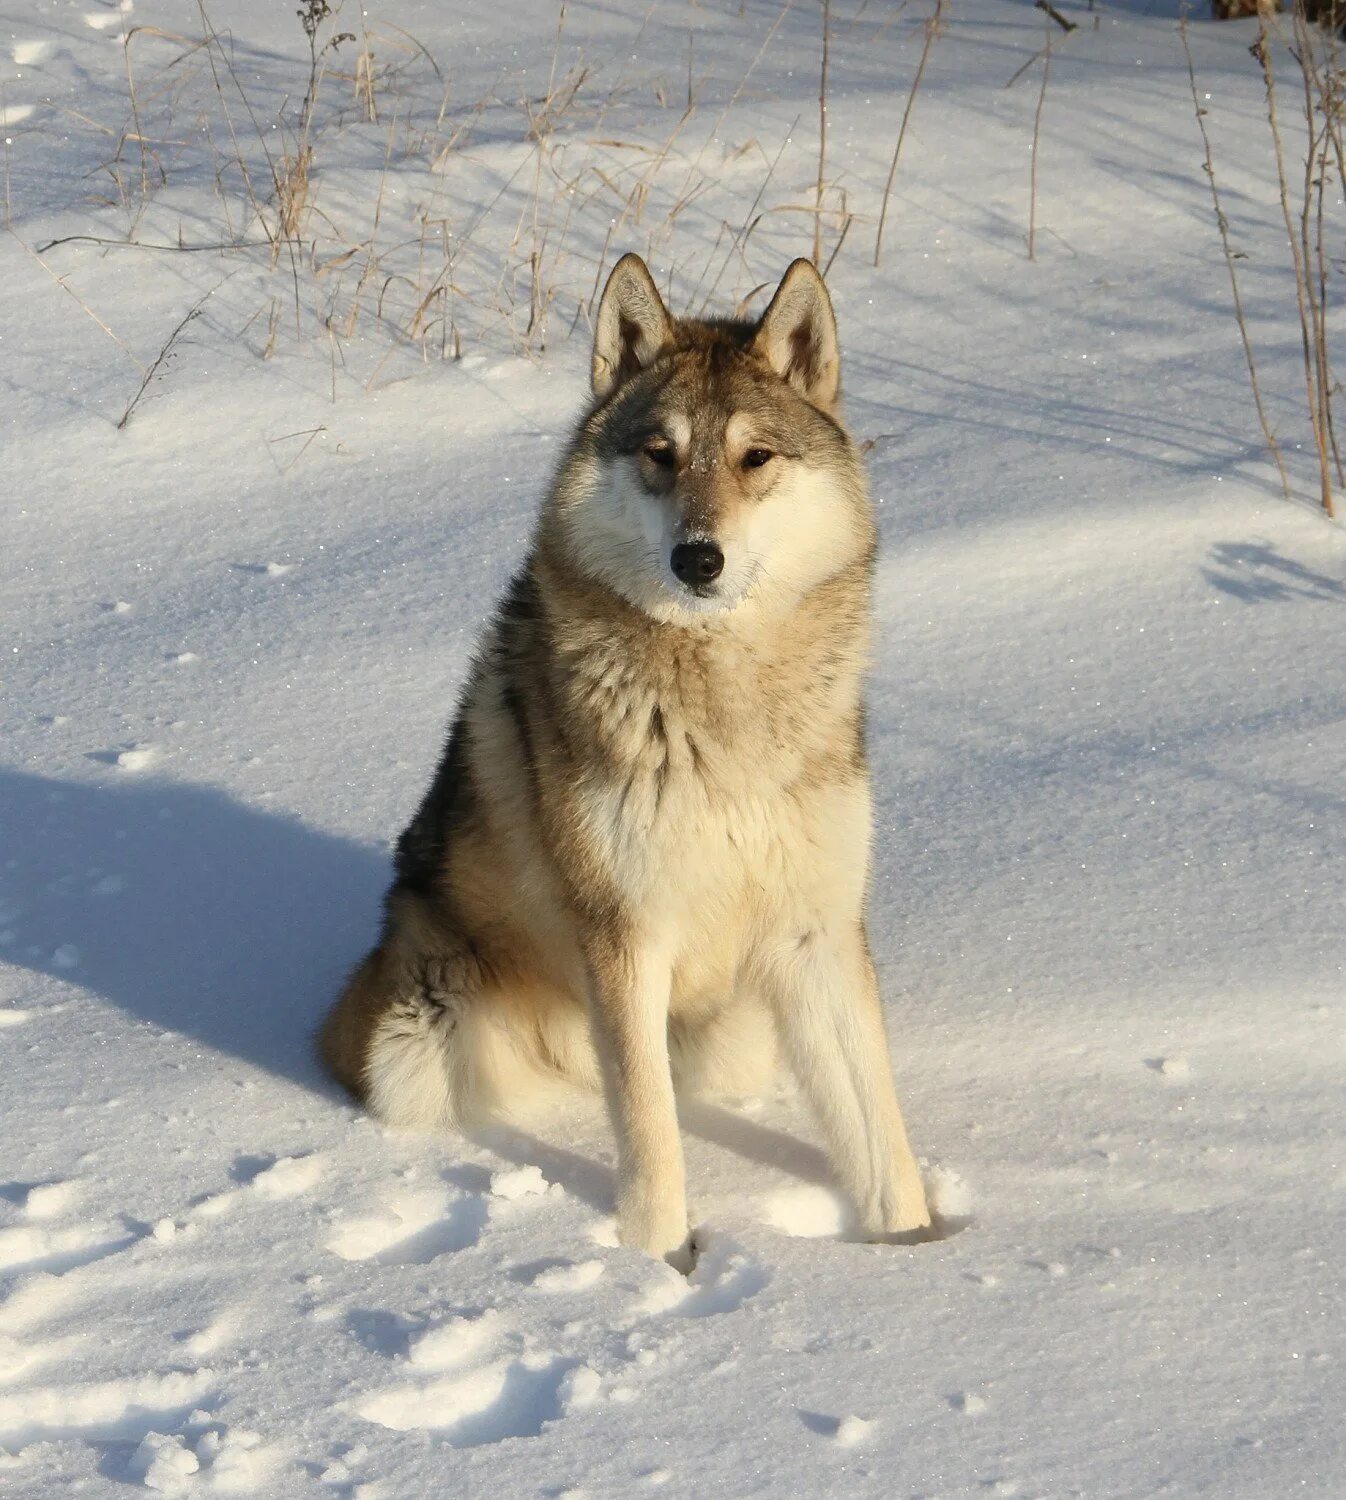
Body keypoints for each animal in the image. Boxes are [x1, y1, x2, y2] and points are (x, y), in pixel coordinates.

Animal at [319, 255, 930, 1266]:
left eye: (755, 458)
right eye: (659, 454)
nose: (698, 559)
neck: (724, 708)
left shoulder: (817, 932)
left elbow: (881, 1137)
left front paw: (920, 1250)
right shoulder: (625, 938)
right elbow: (650, 1137)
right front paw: (657, 1268)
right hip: (421, 1031)